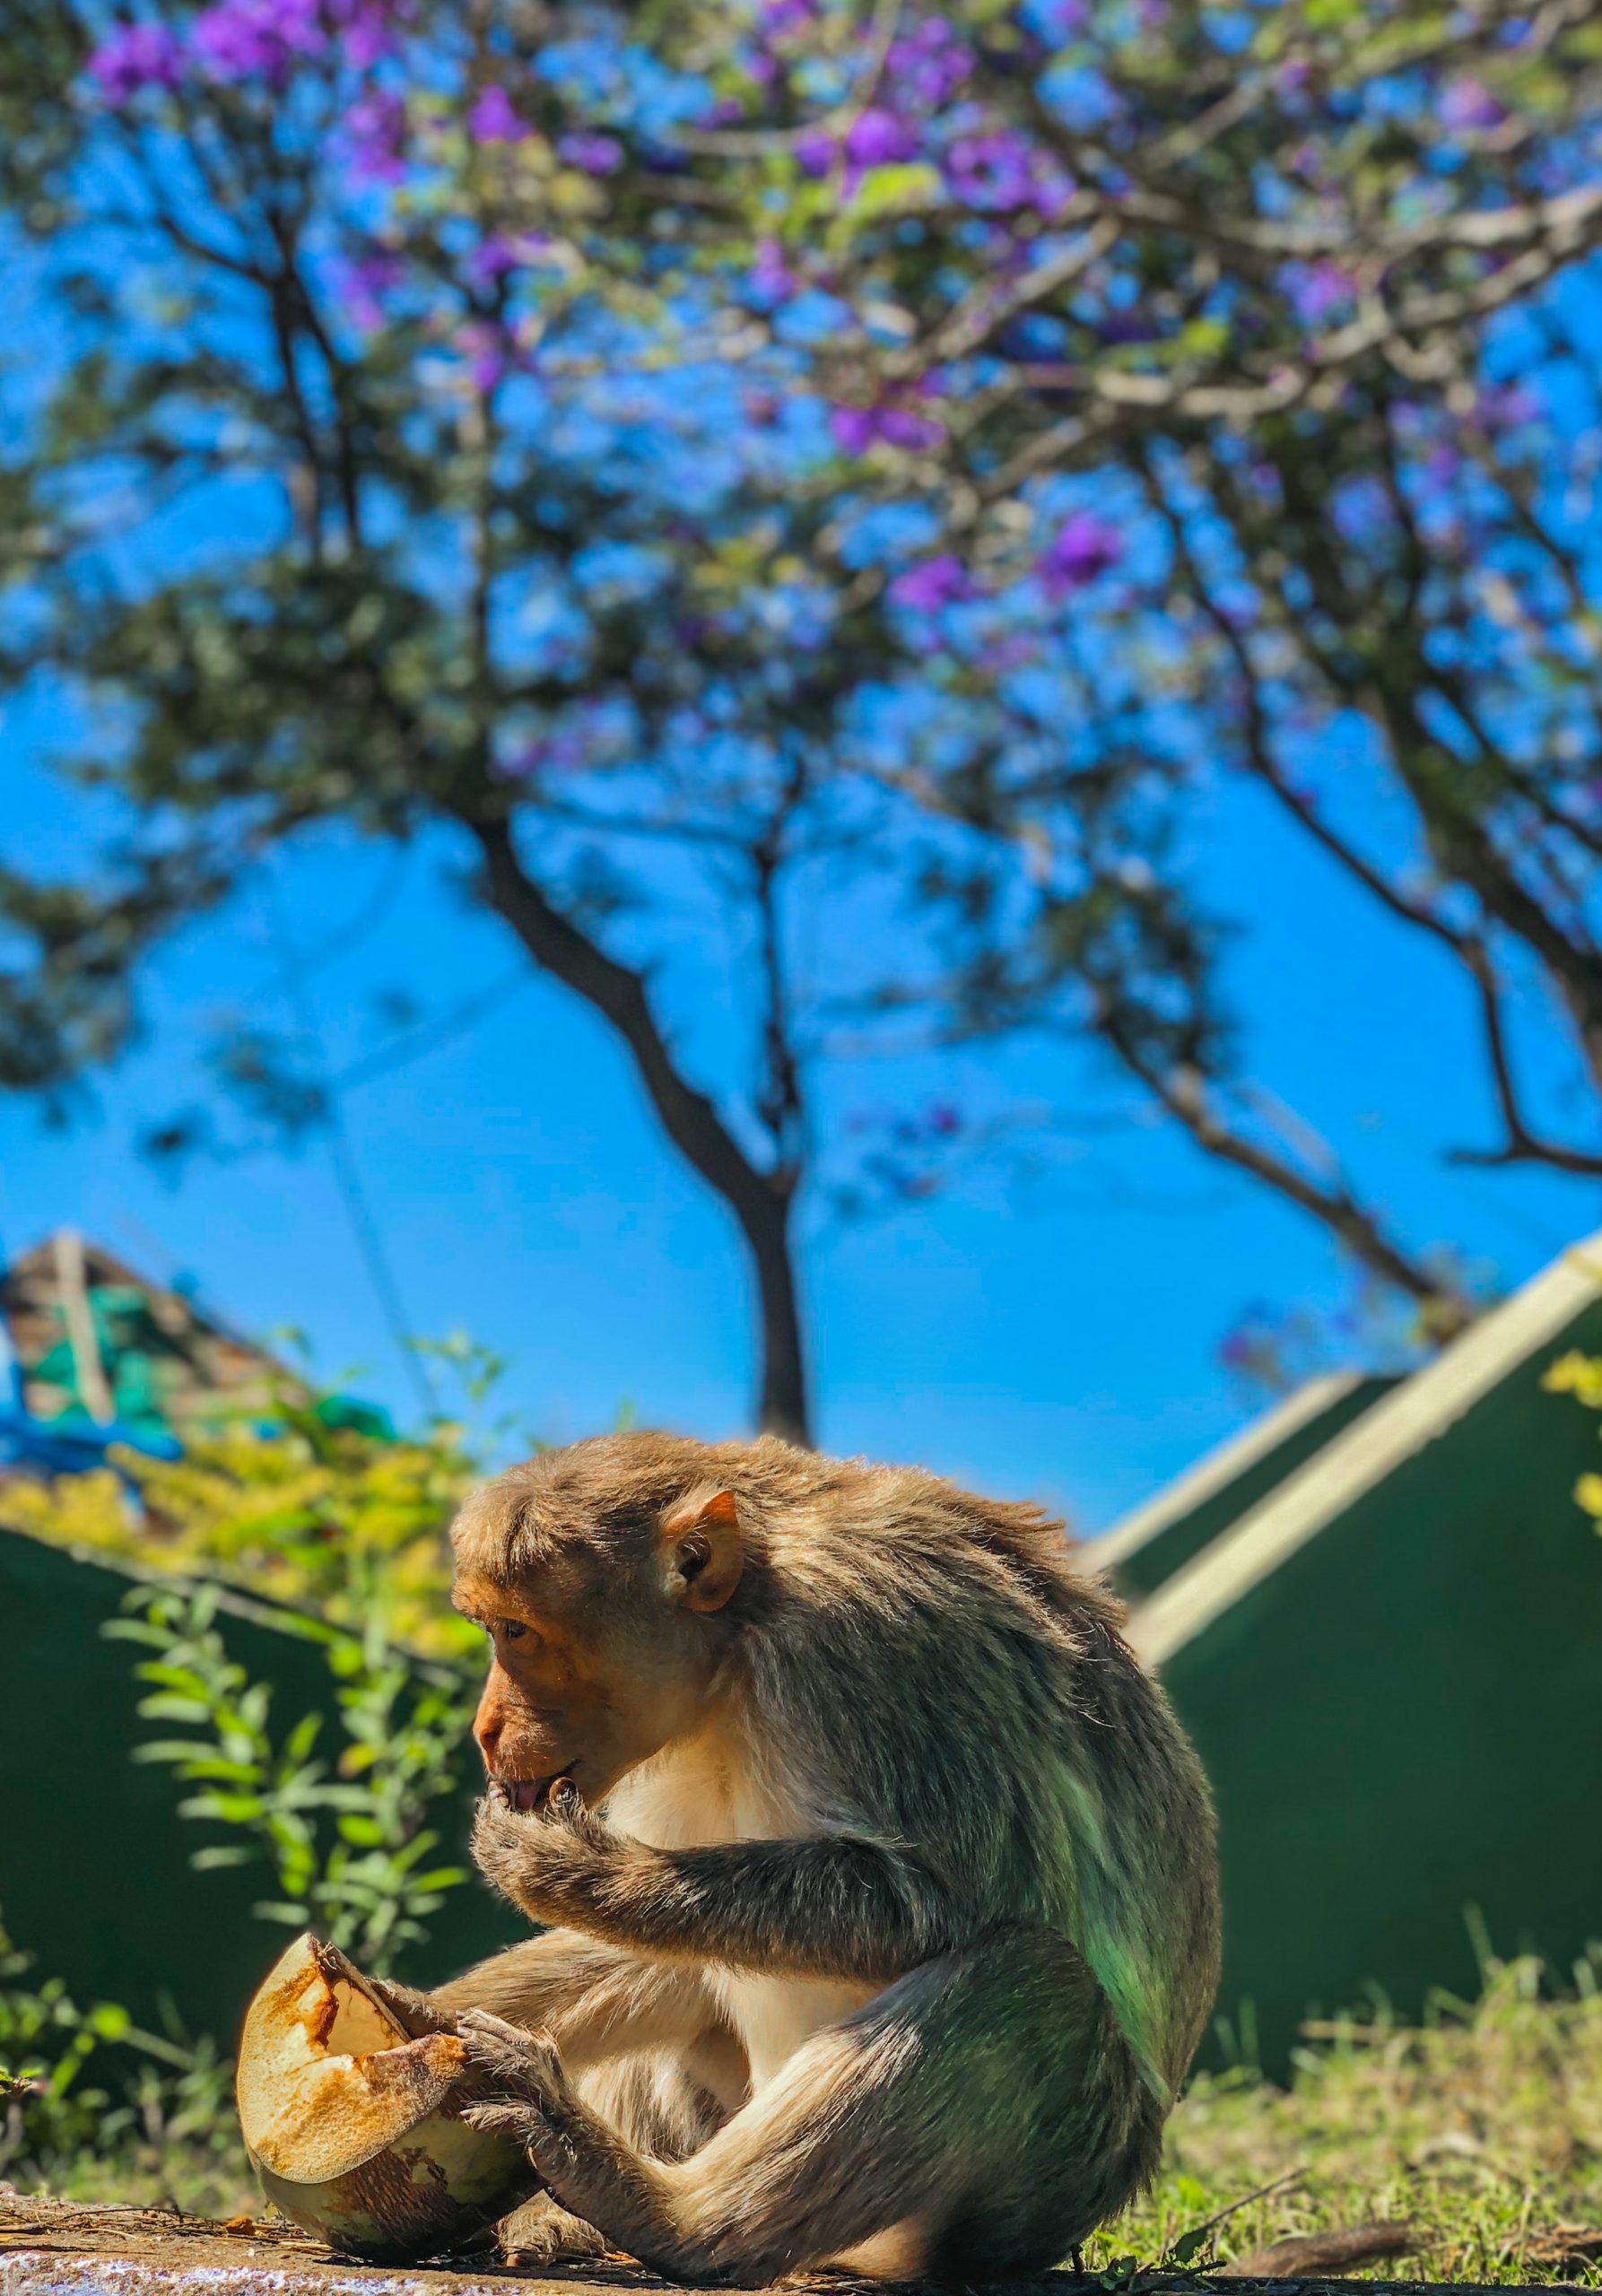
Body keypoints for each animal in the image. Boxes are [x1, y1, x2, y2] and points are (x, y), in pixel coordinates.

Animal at [392, 1432, 1221, 2277]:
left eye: (515, 1633)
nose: (486, 1730)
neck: (737, 1647)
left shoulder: (871, 1638)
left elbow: (948, 1901)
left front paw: (573, 1872)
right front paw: (417, 2012)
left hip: (1045, 2186)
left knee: (1031, 1977)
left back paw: (661, 2214)